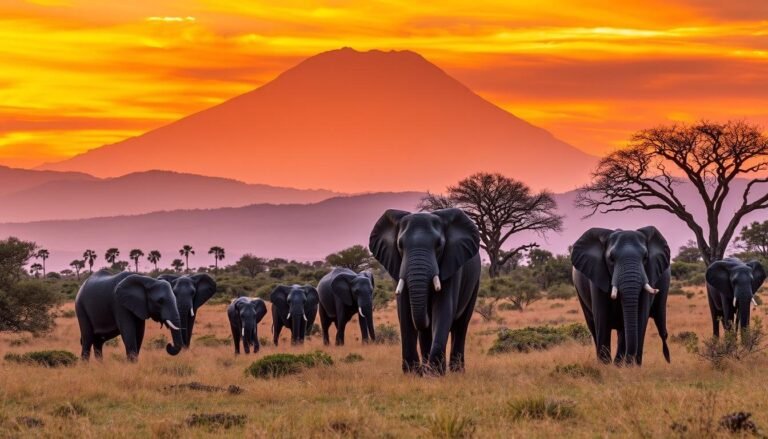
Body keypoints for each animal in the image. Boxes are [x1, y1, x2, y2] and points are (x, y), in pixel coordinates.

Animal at [369, 208, 481, 375]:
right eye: (400, 245)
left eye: (439, 245)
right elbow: (404, 312)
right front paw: (413, 373)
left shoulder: (452, 265)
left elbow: (443, 309)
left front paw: (435, 373)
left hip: (475, 282)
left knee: (461, 325)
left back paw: (456, 371)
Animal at [571, 227, 671, 366]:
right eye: (611, 259)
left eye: (645, 257)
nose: (631, 359)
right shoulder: (597, 276)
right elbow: (602, 318)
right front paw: (606, 366)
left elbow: (640, 316)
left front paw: (631, 366)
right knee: (592, 325)